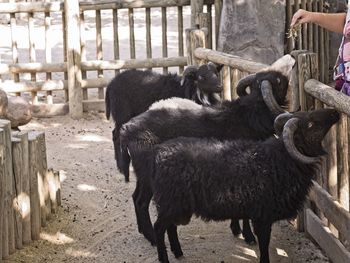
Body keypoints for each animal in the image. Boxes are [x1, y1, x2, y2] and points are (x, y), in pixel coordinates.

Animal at [152, 108, 340, 262]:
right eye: (310, 124)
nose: (334, 112)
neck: (279, 159)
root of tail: (160, 155)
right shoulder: (263, 215)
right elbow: (264, 244)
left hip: (175, 205)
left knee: (170, 227)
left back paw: (178, 252)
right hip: (171, 202)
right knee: (159, 228)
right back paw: (165, 258)